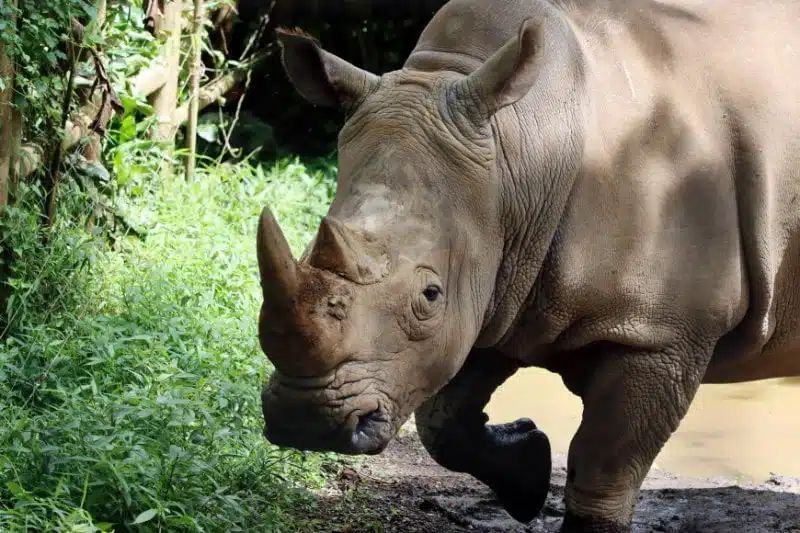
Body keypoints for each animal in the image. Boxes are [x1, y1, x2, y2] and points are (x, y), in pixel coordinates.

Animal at [254, 0, 800, 530]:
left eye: (430, 295)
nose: (306, 421)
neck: (518, 150)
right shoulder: (500, 284)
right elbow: (443, 419)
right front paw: (528, 473)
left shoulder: (659, 332)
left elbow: (604, 469)